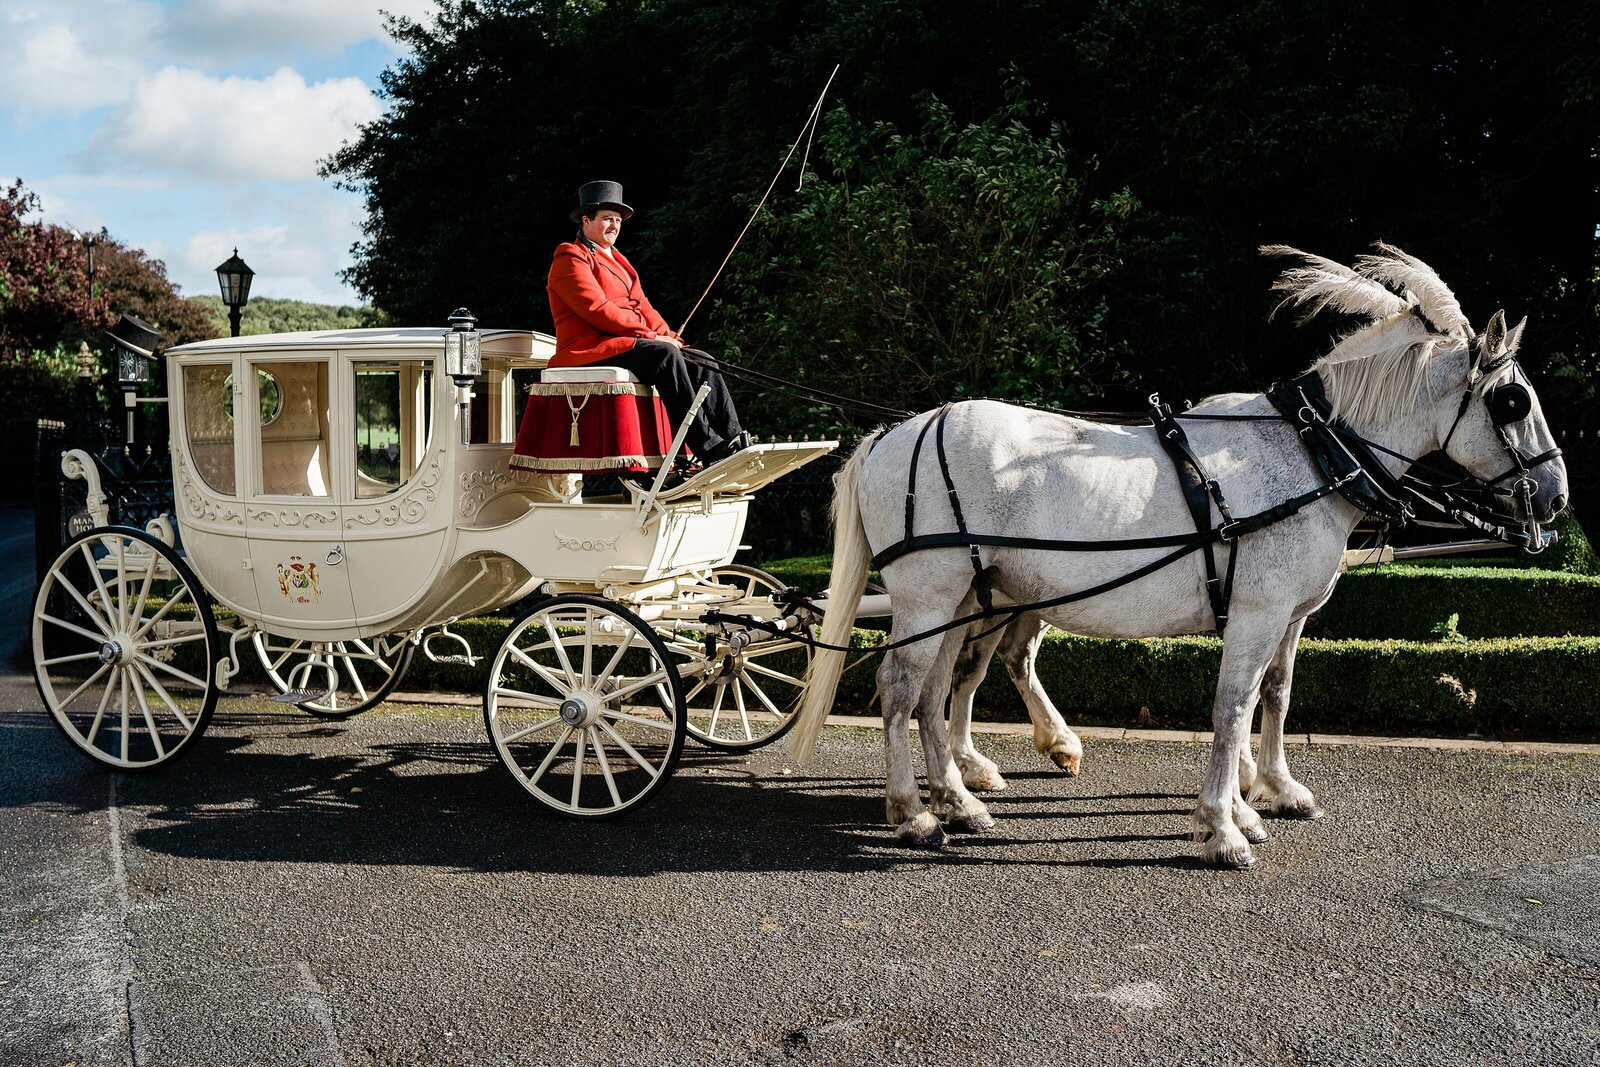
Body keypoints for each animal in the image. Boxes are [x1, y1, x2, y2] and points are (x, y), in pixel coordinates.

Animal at [793, 244, 1568, 870]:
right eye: (1512, 399)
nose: (1558, 494)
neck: (1310, 453)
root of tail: (896, 433)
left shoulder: (1288, 616)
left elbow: (1275, 694)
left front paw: (1272, 791)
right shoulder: (1256, 613)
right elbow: (1231, 707)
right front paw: (1224, 826)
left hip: (966, 597)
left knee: (939, 688)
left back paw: (960, 798)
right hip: (931, 594)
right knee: (901, 688)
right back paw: (914, 811)